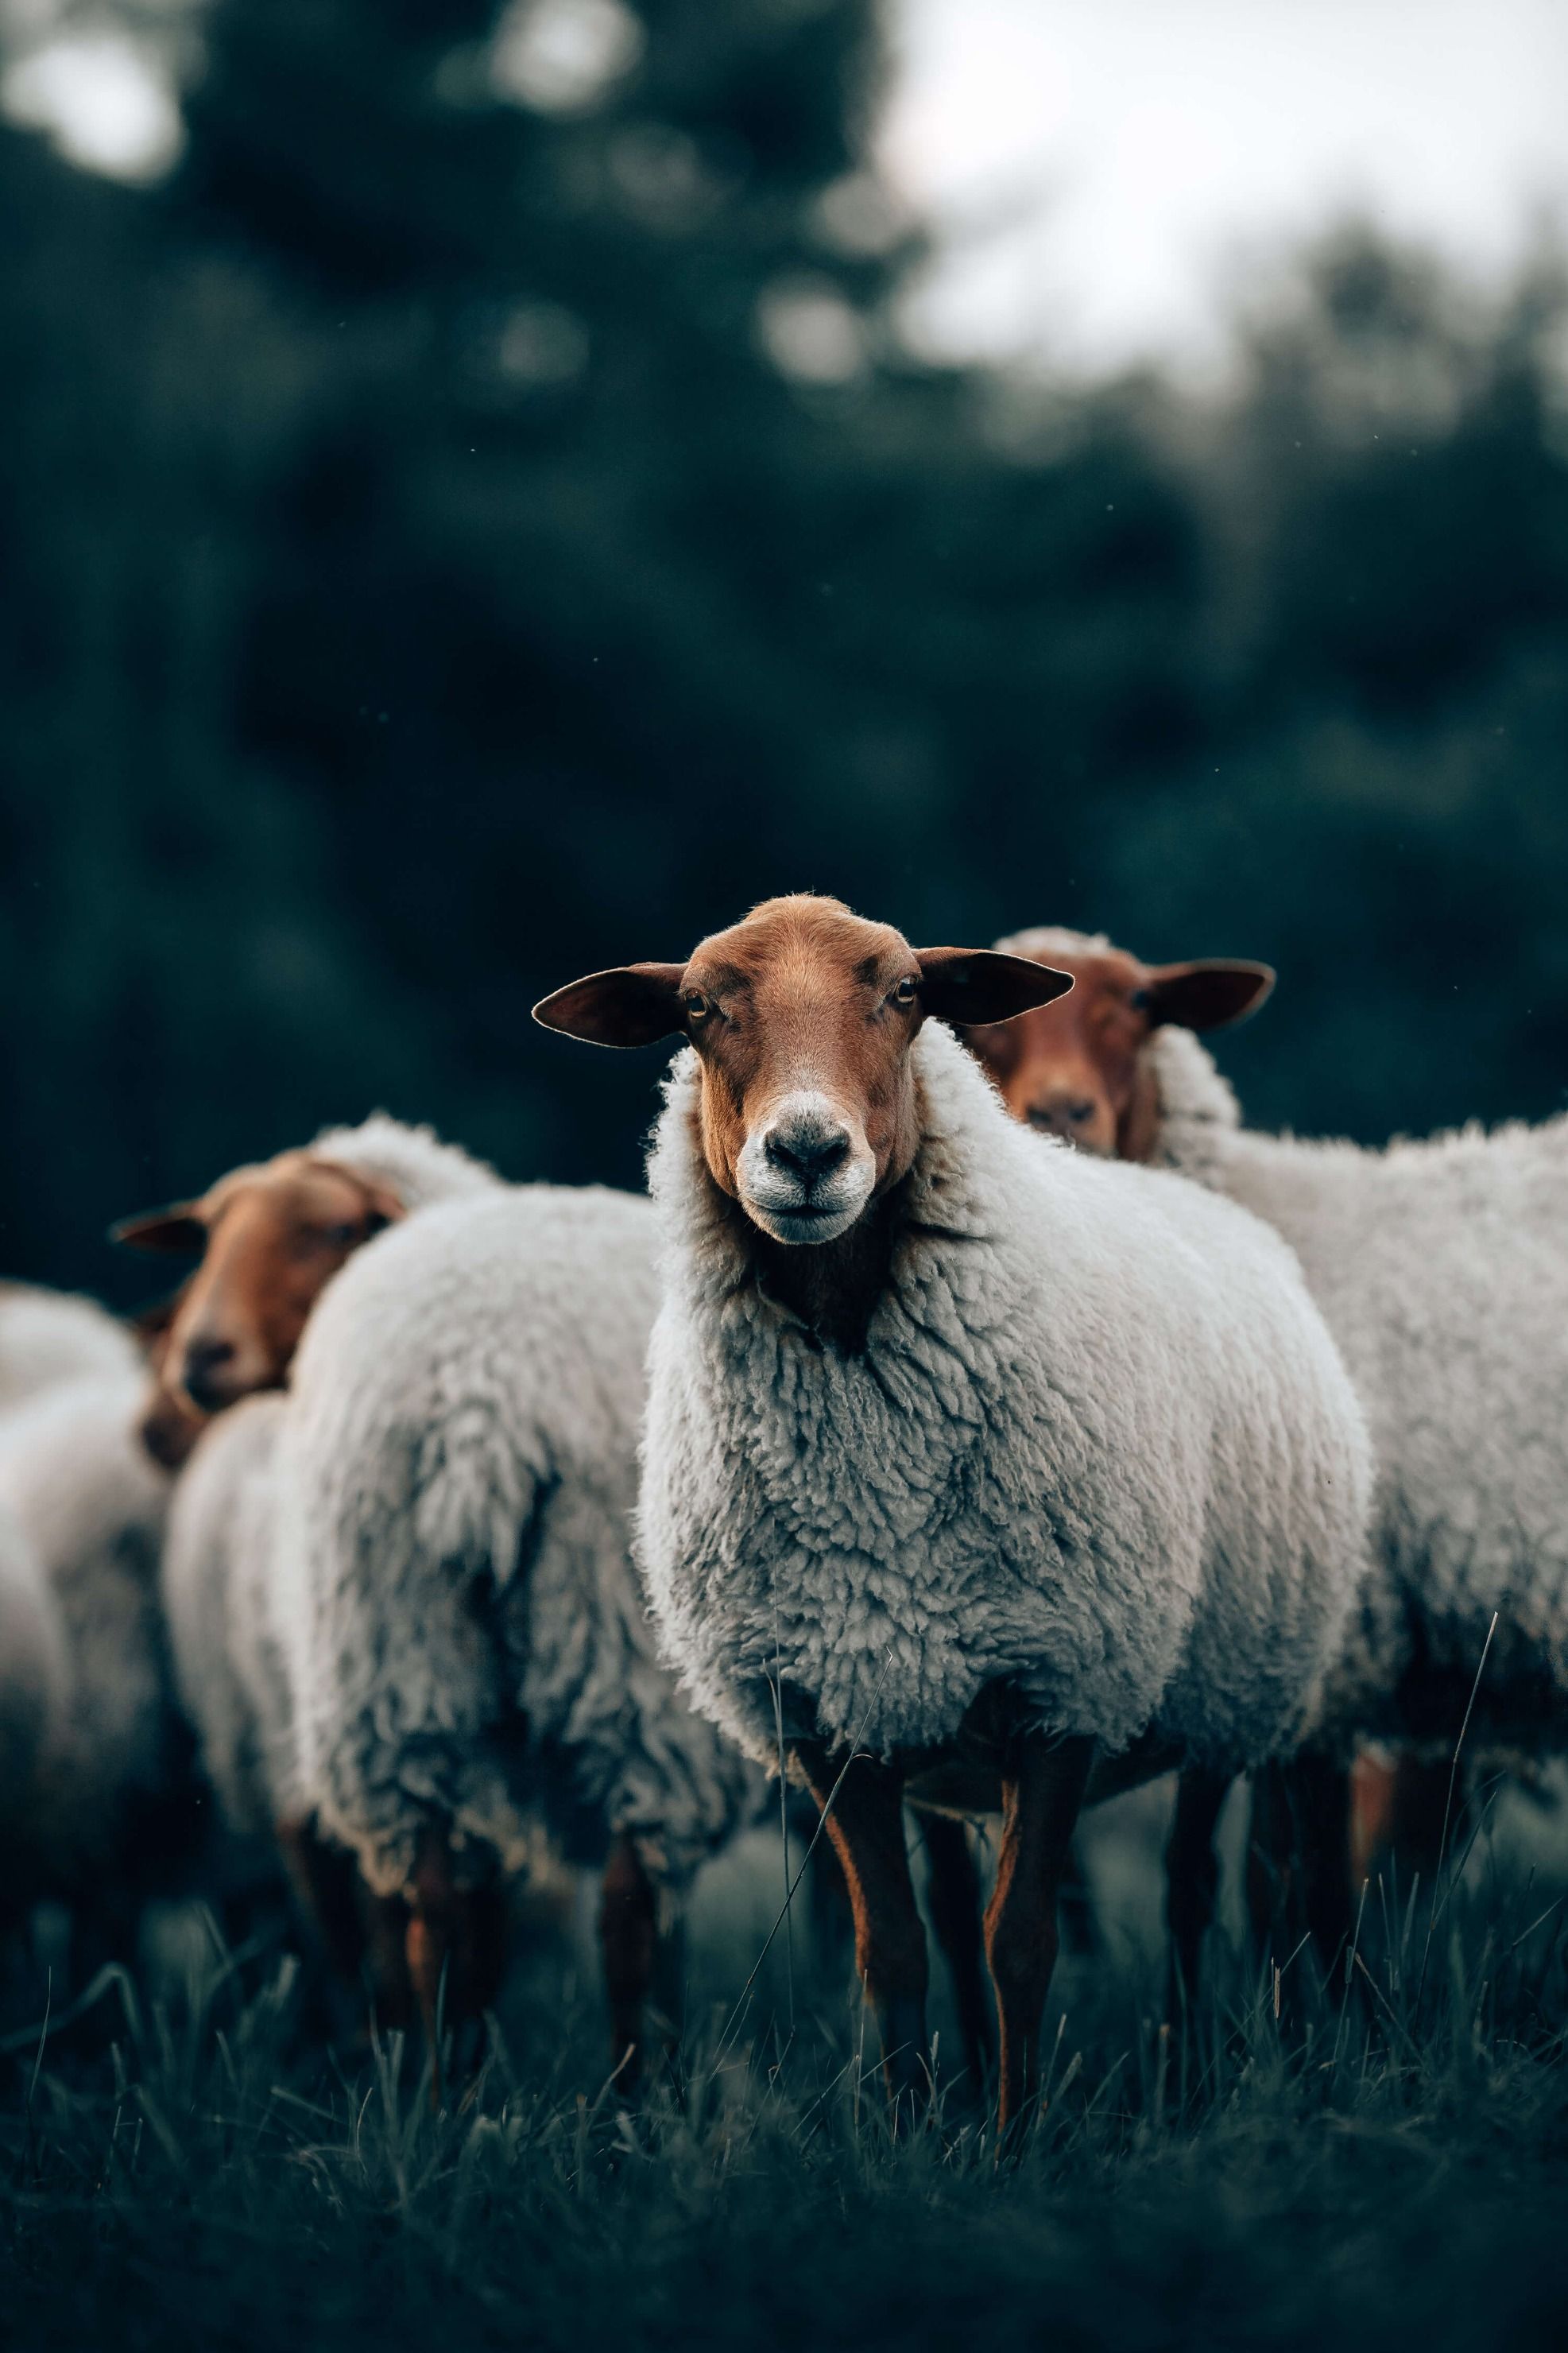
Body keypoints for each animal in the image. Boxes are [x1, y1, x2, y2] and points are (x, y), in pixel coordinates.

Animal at [268, 1178, 760, 2077]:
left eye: (320, 1231)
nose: (193, 1366)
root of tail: (478, 1395)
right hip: (628, 1645)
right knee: (630, 1901)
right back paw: (640, 2089)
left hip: (387, 1643)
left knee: (430, 1903)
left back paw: (442, 2094)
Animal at [534, 892, 1373, 2131]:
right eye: (695, 1009)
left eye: (906, 995)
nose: (806, 1152)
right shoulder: (832, 1716)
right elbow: (895, 1950)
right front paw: (912, 2132)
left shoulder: (1062, 1685)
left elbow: (1018, 1941)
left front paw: (1017, 2141)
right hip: (925, 1698)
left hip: (1227, 1679)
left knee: (1198, 1884)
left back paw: (1189, 2061)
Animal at [973, 925, 1568, 1965]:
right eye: (986, 1027)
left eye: (1139, 1006)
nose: (1061, 1111)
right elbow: (1285, 1879)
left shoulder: (1327, 1654)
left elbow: (1307, 1883)